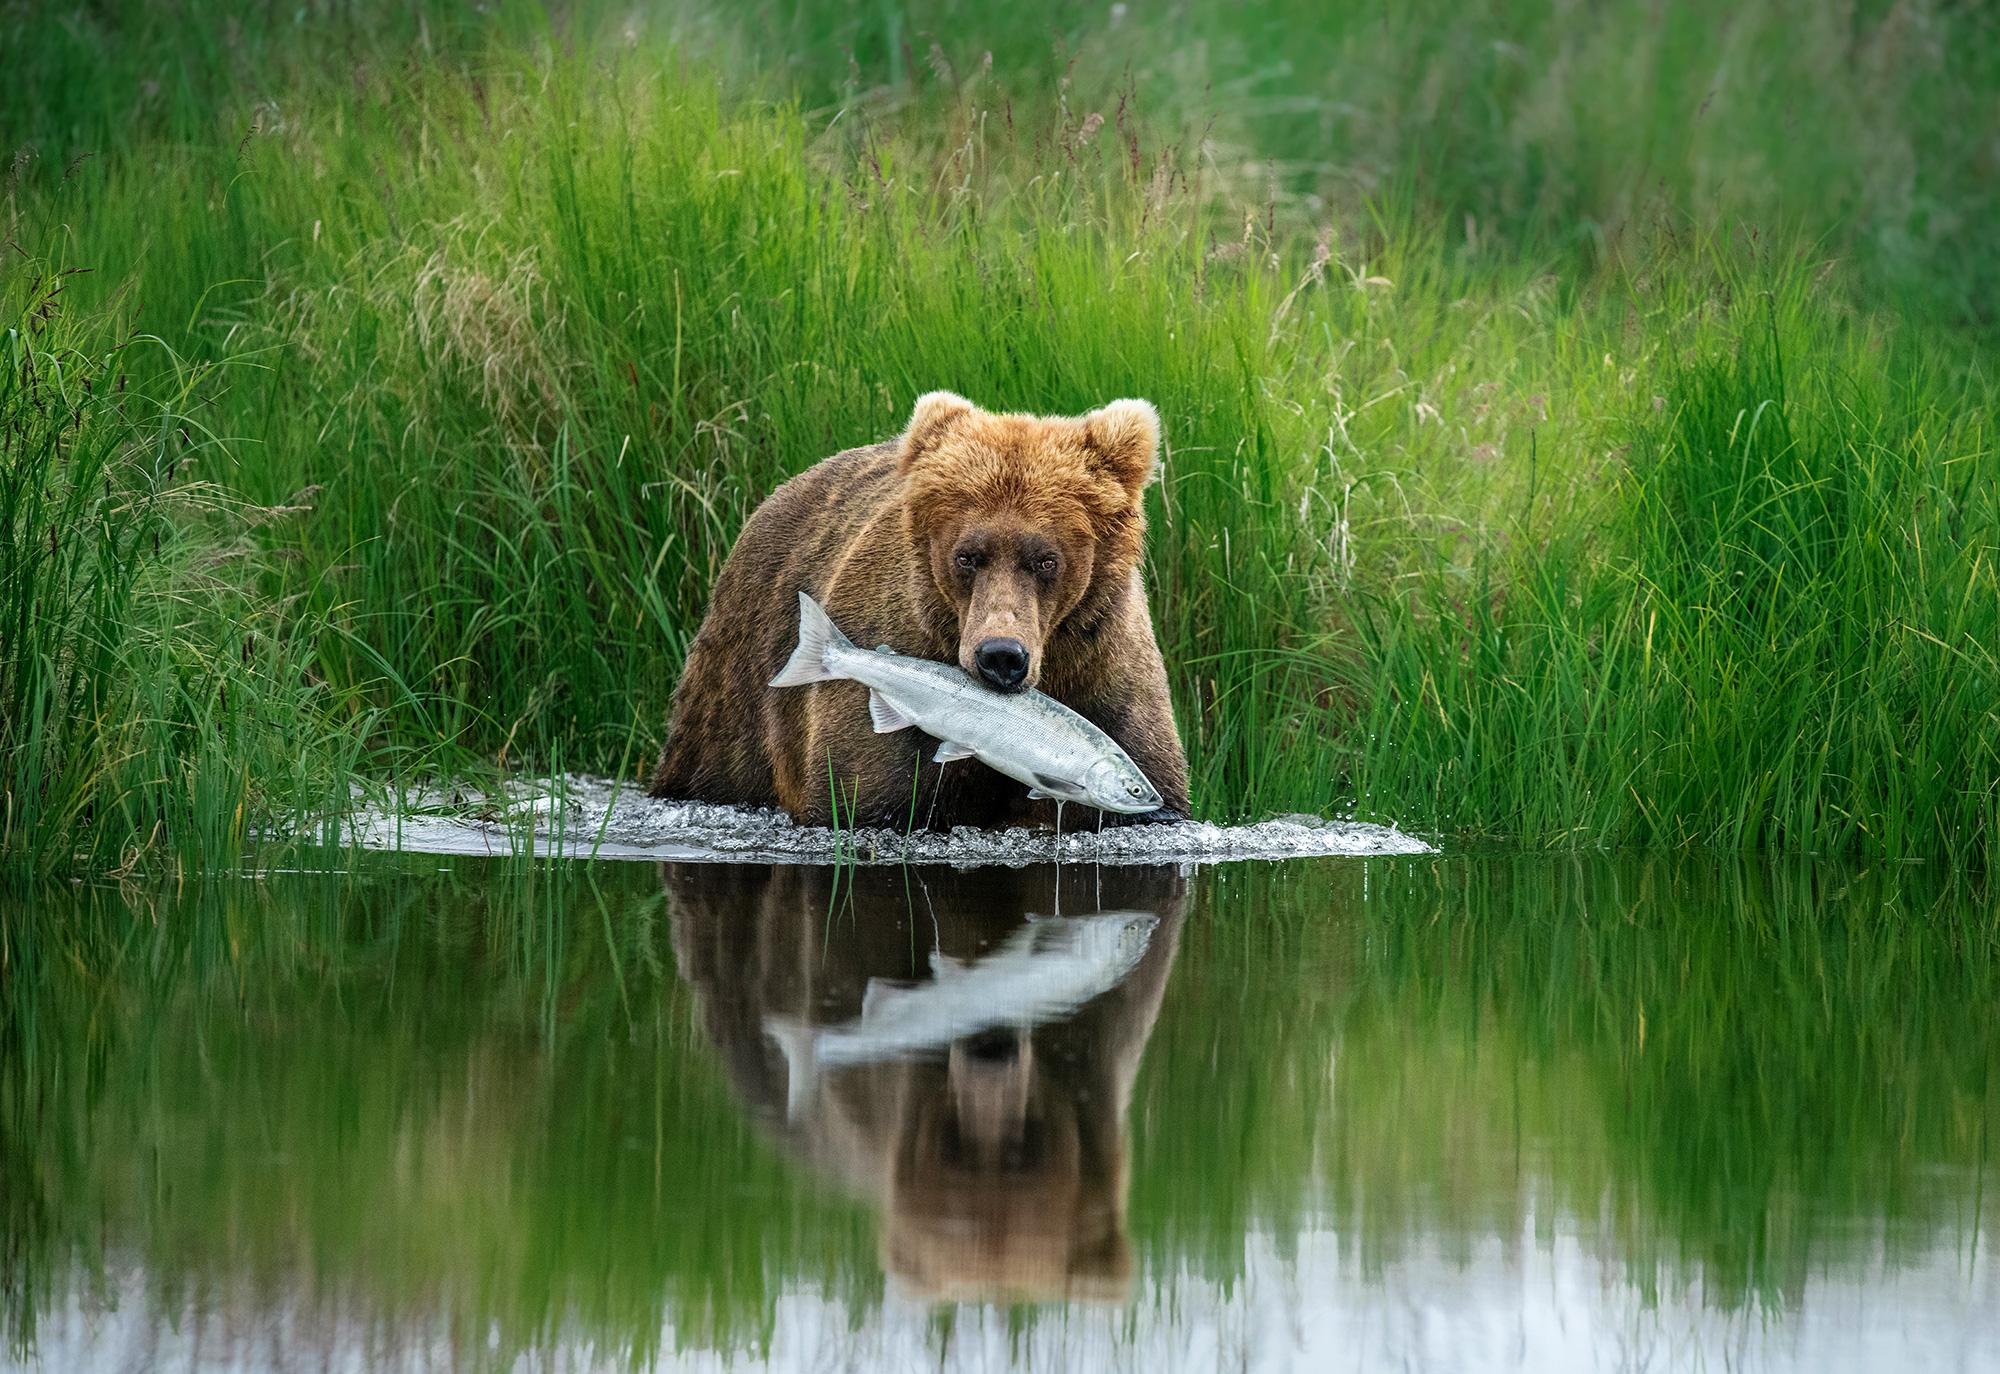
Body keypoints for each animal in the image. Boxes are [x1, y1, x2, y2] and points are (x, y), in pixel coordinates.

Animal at [652, 392, 1184, 832]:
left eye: (1046, 559)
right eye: (967, 556)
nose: (1001, 656)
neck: (1055, 666)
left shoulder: (1107, 678)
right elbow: (869, 797)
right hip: (740, 679)